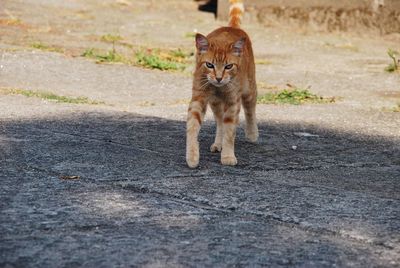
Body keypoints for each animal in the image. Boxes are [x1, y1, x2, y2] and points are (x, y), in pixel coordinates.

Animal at [186, 0, 258, 168]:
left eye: (228, 66)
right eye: (209, 65)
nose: (218, 78)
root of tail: (232, 27)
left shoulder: (233, 103)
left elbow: (230, 132)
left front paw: (228, 156)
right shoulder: (199, 98)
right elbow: (193, 126)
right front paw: (192, 156)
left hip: (249, 90)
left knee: (250, 110)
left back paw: (252, 133)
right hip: (215, 103)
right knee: (219, 122)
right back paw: (218, 144)